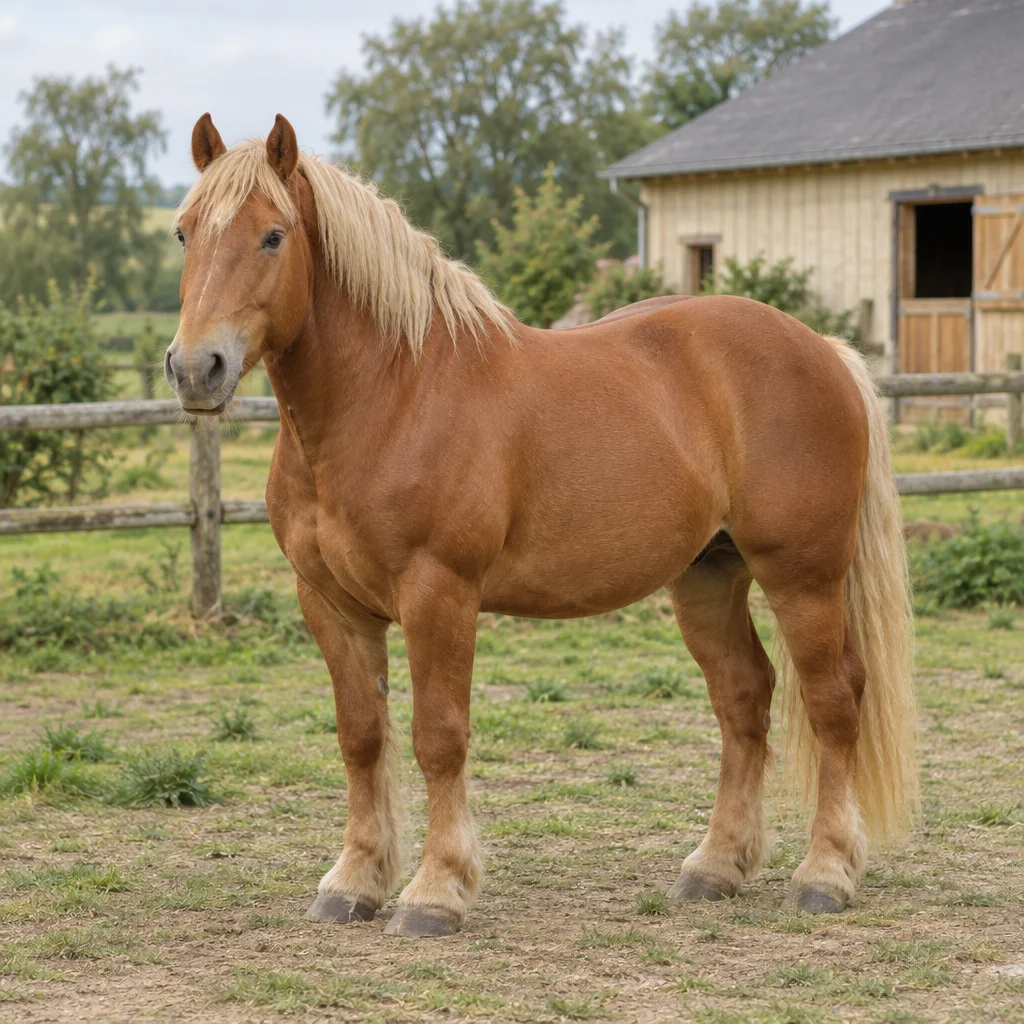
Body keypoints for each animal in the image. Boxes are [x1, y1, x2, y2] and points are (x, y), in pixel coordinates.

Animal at [164, 113, 918, 938]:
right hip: (708, 577)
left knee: (833, 700)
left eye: (273, 235)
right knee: (744, 698)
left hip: (802, 576)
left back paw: (826, 874)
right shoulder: (330, 604)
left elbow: (439, 738)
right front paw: (355, 882)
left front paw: (436, 891)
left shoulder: (439, 595)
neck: (390, 398)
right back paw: (716, 867)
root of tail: (824, 350)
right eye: (184, 232)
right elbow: (361, 737)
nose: (196, 368)